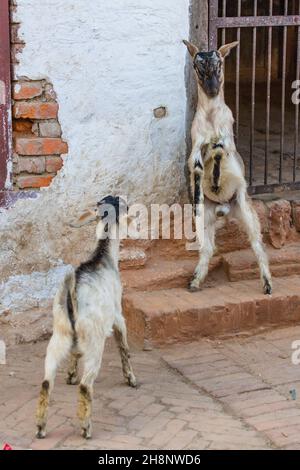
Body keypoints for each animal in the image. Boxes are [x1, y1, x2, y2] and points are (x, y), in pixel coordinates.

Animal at [35, 195, 137, 440]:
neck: (102, 256)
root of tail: (71, 295)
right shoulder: (117, 316)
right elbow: (124, 347)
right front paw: (131, 379)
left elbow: (75, 353)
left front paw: (70, 375)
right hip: (95, 342)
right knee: (85, 385)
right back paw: (86, 427)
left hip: (59, 336)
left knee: (46, 382)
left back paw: (41, 428)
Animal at [183, 38, 272, 294]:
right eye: (197, 66)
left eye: (220, 63)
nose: (212, 89)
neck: (212, 116)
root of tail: (225, 208)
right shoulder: (195, 146)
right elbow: (197, 165)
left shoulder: (228, 142)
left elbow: (221, 151)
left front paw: (215, 172)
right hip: (207, 216)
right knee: (207, 247)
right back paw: (195, 281)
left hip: (246, 209)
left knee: (257, 243)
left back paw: (267, 284)